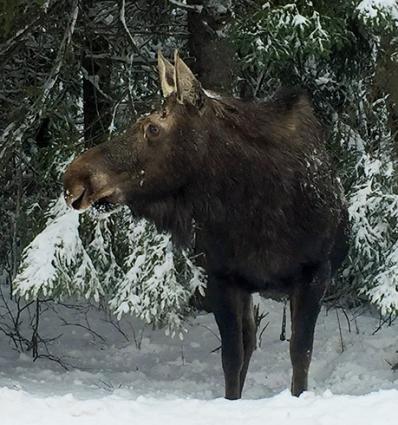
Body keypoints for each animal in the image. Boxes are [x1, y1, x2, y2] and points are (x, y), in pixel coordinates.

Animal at [63, 51, 346, 400]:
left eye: (153, 127)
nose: (74, 178)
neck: (260, 213)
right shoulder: (222, 277)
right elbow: (232, 357)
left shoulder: (315, 272)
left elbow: (300, 353)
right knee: (249, 340)